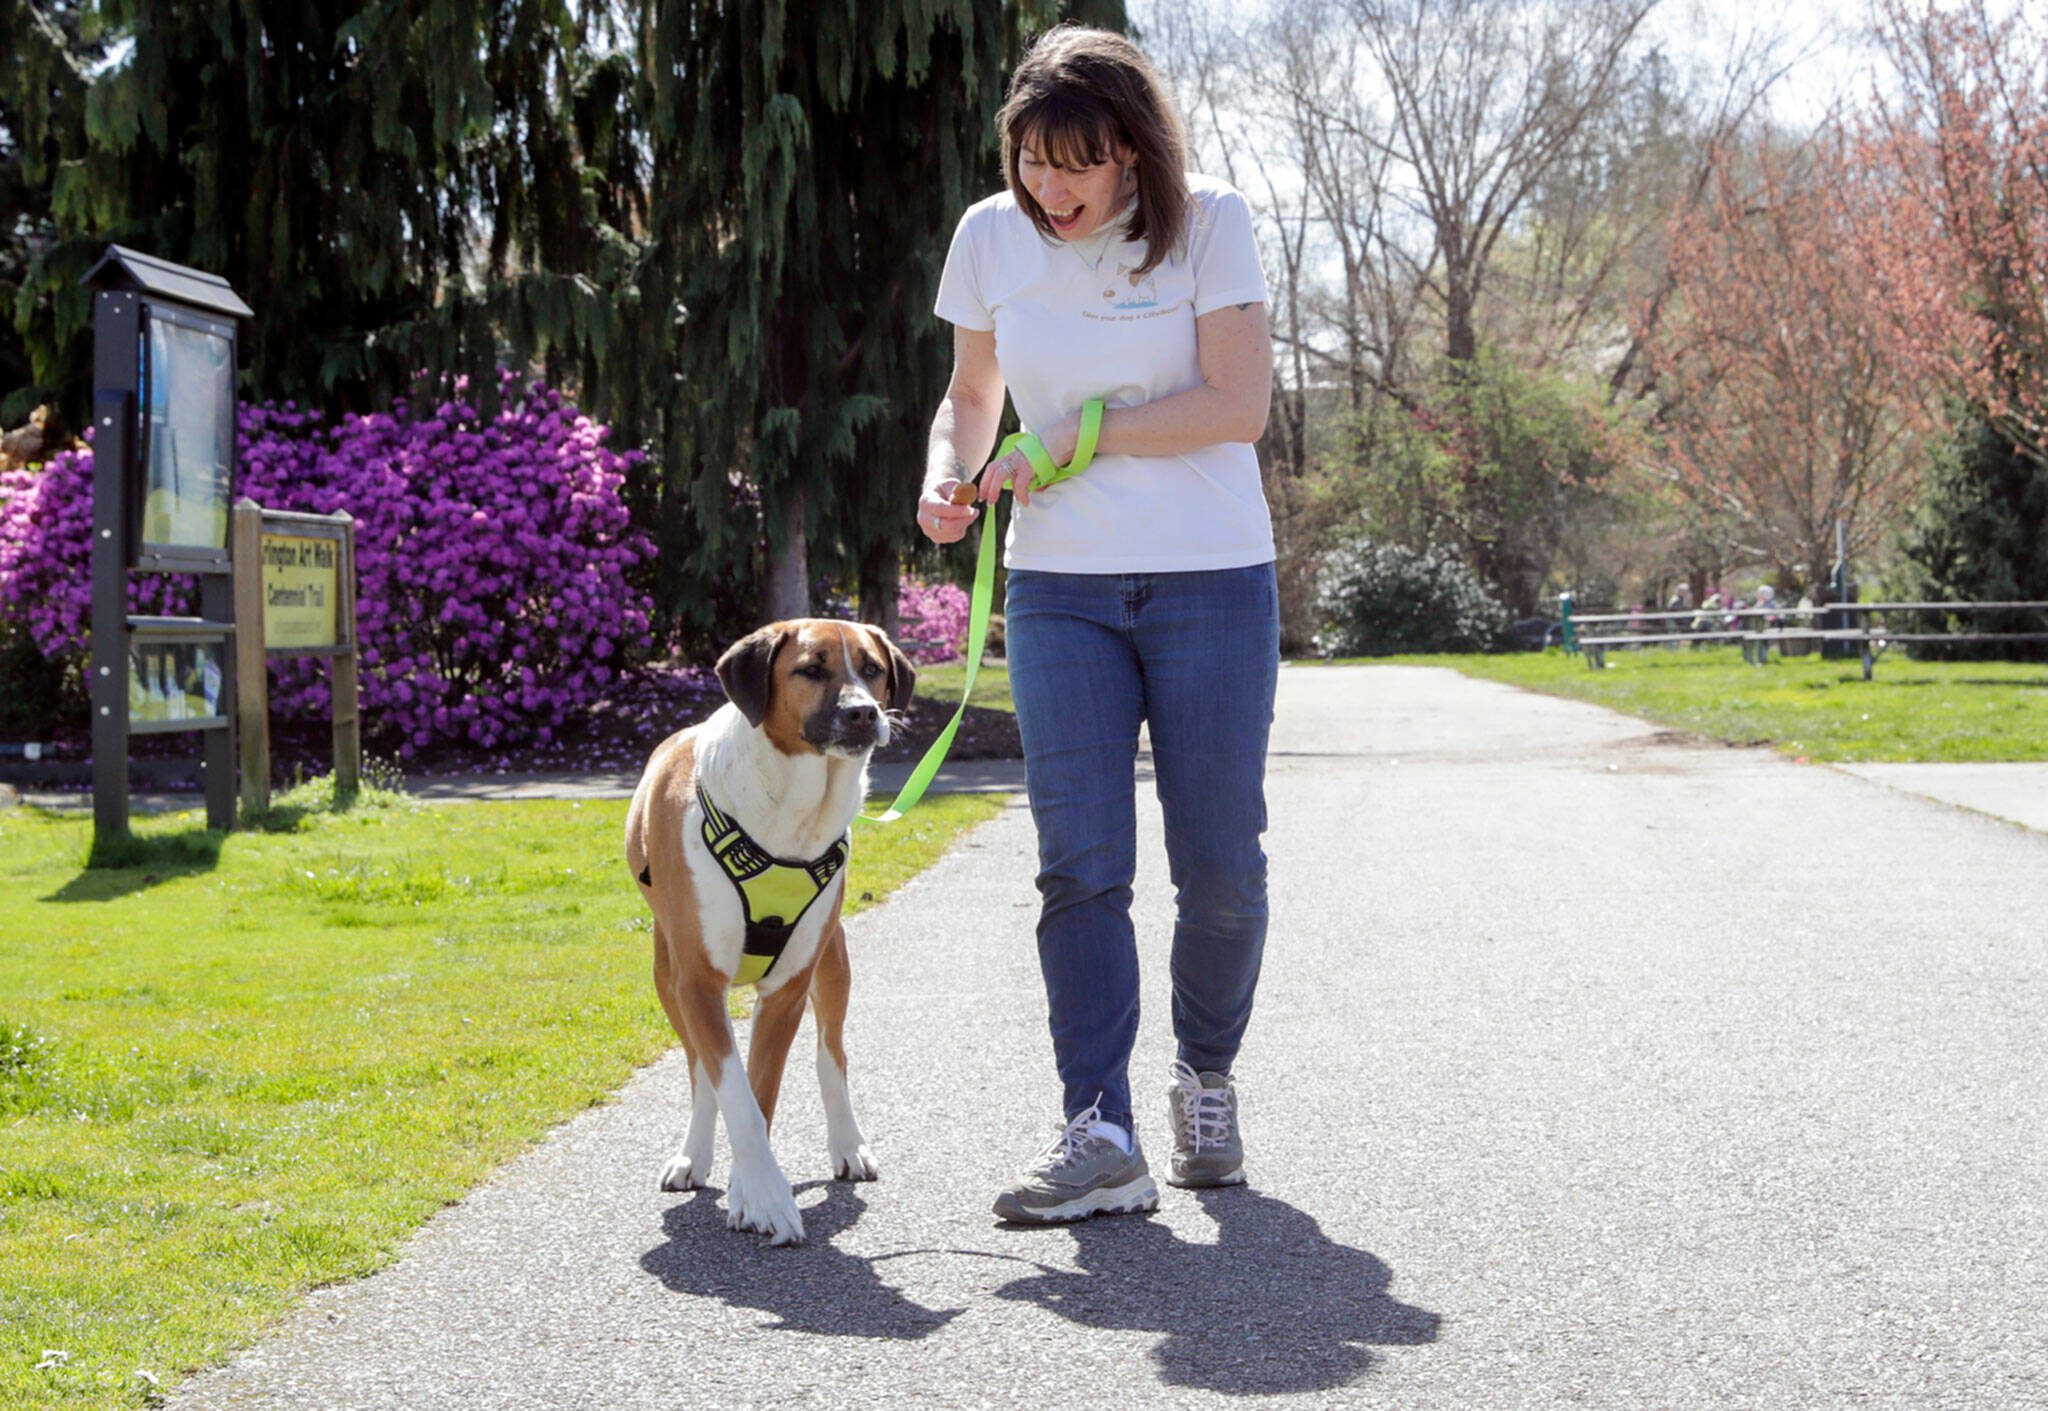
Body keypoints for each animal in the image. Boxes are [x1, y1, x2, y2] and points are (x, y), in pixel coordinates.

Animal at [618, 618, 917, 1245]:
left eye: (872, 668)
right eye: (809, 669)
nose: (863, 712)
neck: (791, 811)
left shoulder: (786, 989)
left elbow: (761, 1092)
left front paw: (750, 1191)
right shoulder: (698, 981)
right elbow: (731, 1087)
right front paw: (763, 1193)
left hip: (832, 960)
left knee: (832, 1053)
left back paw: (848, 1143)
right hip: (666, 973)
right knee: (699, 1068)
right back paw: (694, 1153)